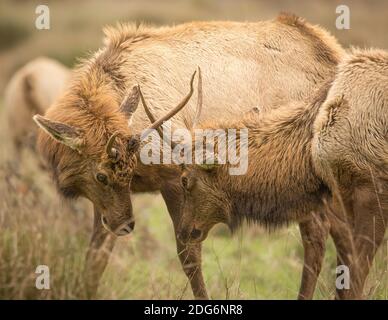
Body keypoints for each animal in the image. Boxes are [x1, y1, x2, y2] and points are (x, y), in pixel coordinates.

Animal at [31, 14, 344, 300]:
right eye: (101, 176)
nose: (126, 226)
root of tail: (334, 53)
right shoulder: (109, 202)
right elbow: (96, 255)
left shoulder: (175, 177)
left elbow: (189, 256)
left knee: (317, 235)